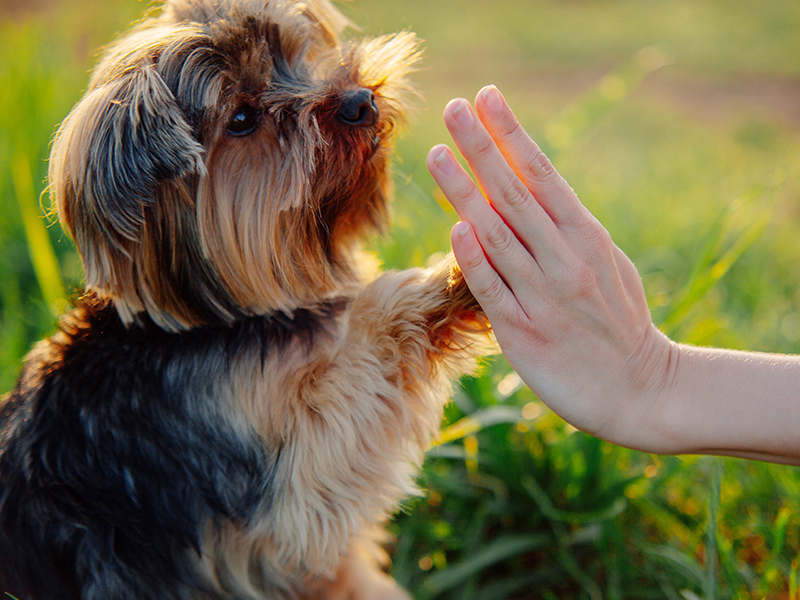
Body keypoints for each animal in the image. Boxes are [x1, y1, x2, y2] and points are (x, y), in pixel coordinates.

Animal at [0, 2, 490, 596]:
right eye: (241, 119)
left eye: (297, 57)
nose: (360, 101)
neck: (222, 318)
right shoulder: (282, 492)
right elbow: (357, 372)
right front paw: (459, 276)